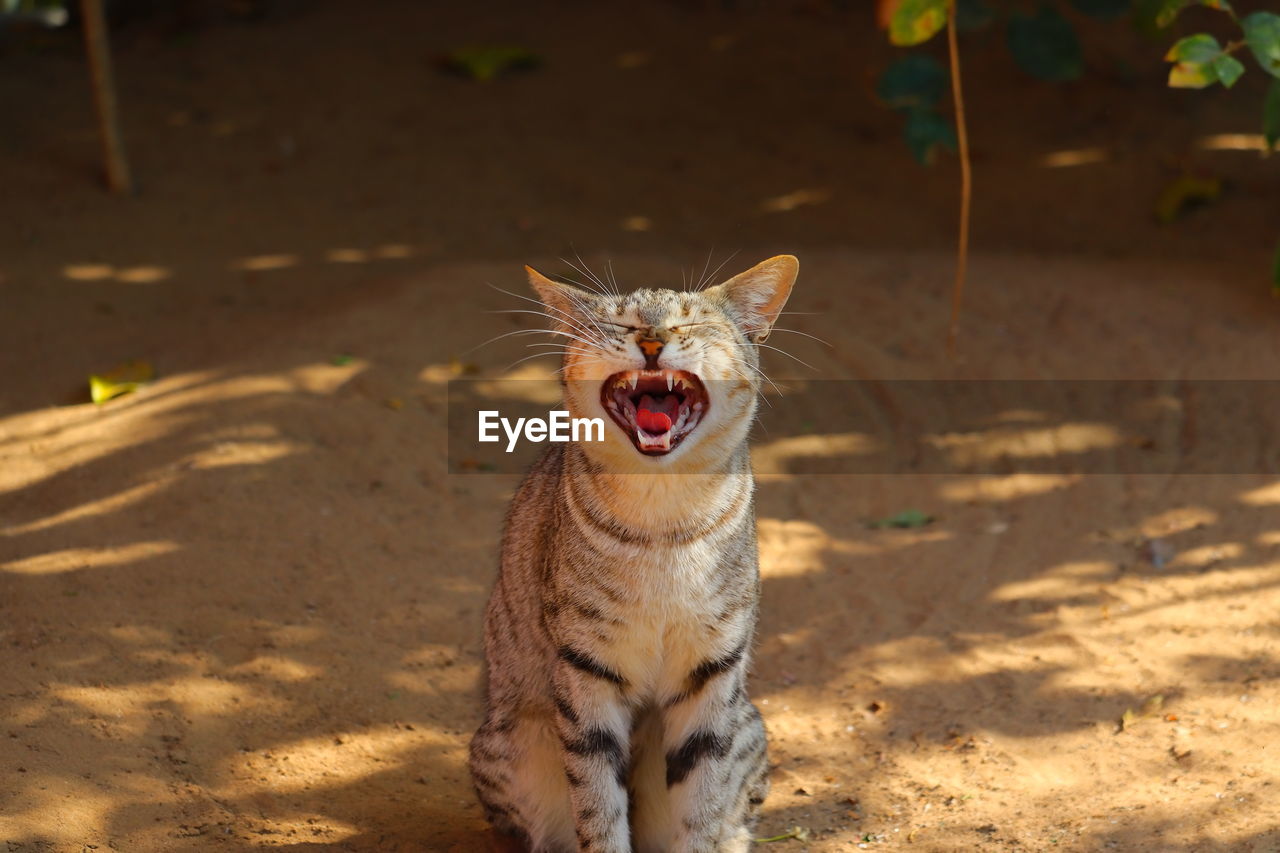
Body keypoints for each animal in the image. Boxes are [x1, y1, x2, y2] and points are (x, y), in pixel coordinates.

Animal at [465, 253, 793, 850]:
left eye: (689, 323)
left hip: (748, 724)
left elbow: (703, 807)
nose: (651, 340)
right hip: (516, 736)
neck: (662, 519)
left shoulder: (714, 673)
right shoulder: (585, 670)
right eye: (618, 324)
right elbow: (598, 806)